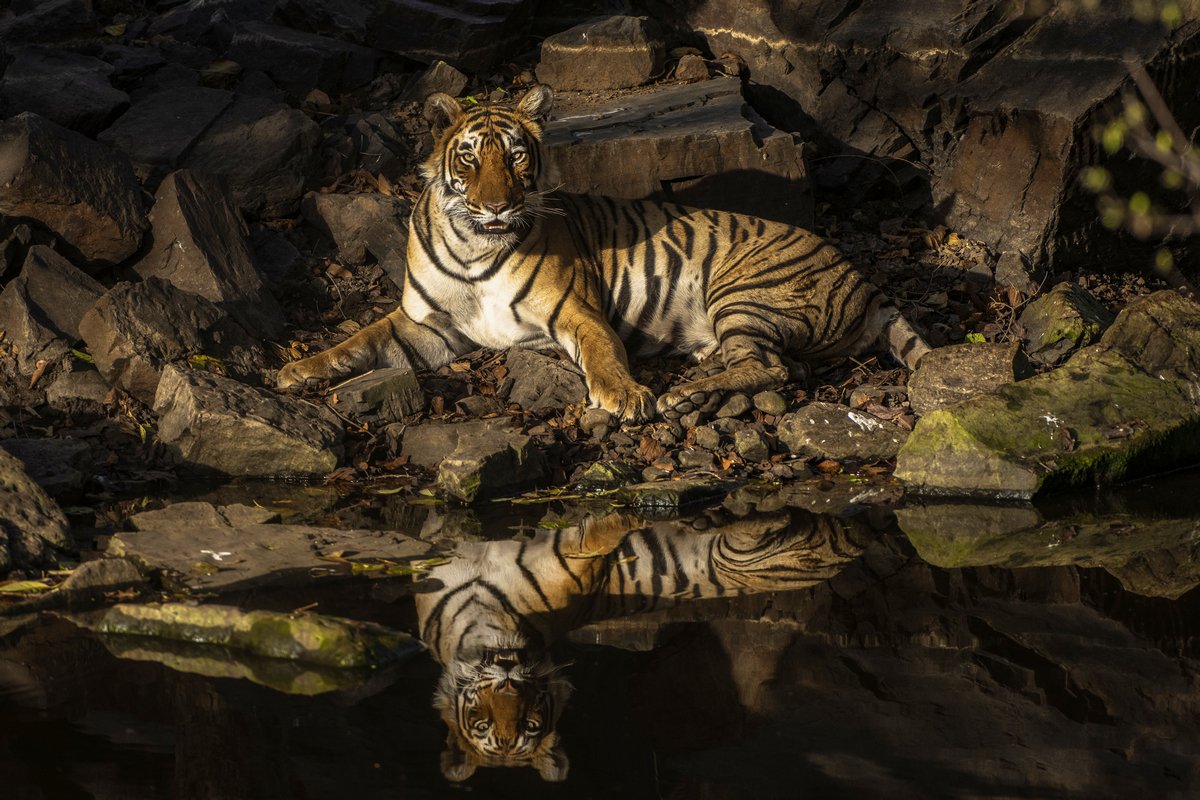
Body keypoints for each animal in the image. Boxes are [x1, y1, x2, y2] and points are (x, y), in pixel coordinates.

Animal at [278, 86, 926, 422]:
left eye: (515, 155)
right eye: (469, 157)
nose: (495, 207)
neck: (473, 247)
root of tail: (864, 280)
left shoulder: (576, 310)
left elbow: (602, 353)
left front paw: (626, 396)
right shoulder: (427, 324)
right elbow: (360, 340)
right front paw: (299, 369)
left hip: (743, 288)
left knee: (774, 367)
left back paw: (684, 392)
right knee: (773, 364)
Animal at [412, 506, 864, 782]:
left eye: (531, 725)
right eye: (483, 725)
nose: (510, 675)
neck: (483, 616)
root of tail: (851, 546)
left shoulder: (580, 566)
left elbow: (598, 537)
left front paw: (623, 516)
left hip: (740, 556)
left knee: (772, 518)